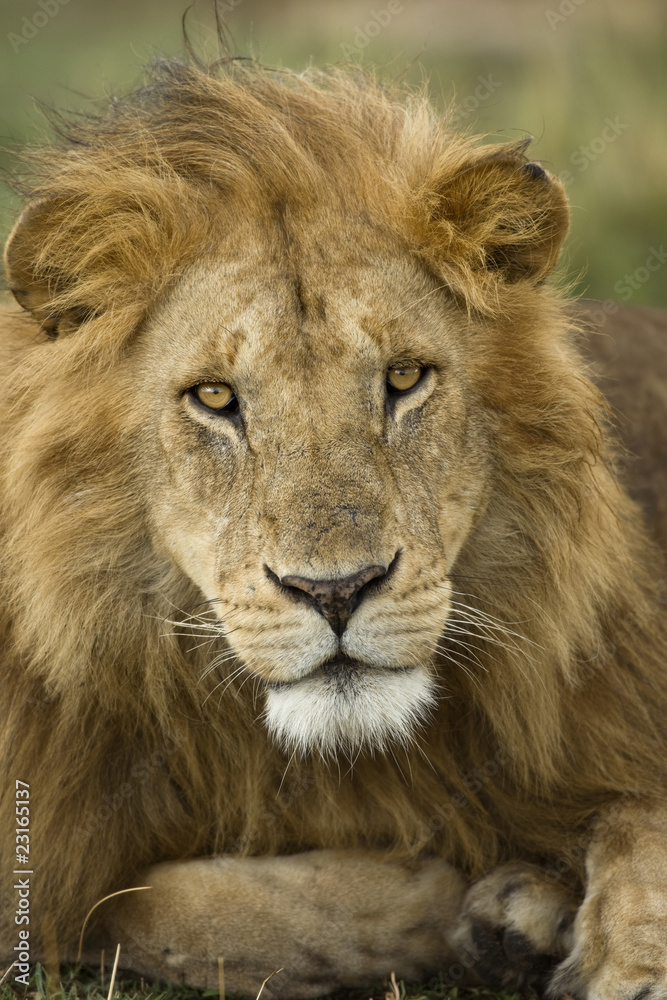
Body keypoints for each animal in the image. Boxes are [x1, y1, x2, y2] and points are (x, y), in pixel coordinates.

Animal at [2, 57, 667, 999]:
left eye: (405, 378)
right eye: (214, 396)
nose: (336, 591)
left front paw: (612, 947)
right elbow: (165, 908)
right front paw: (447, 900)